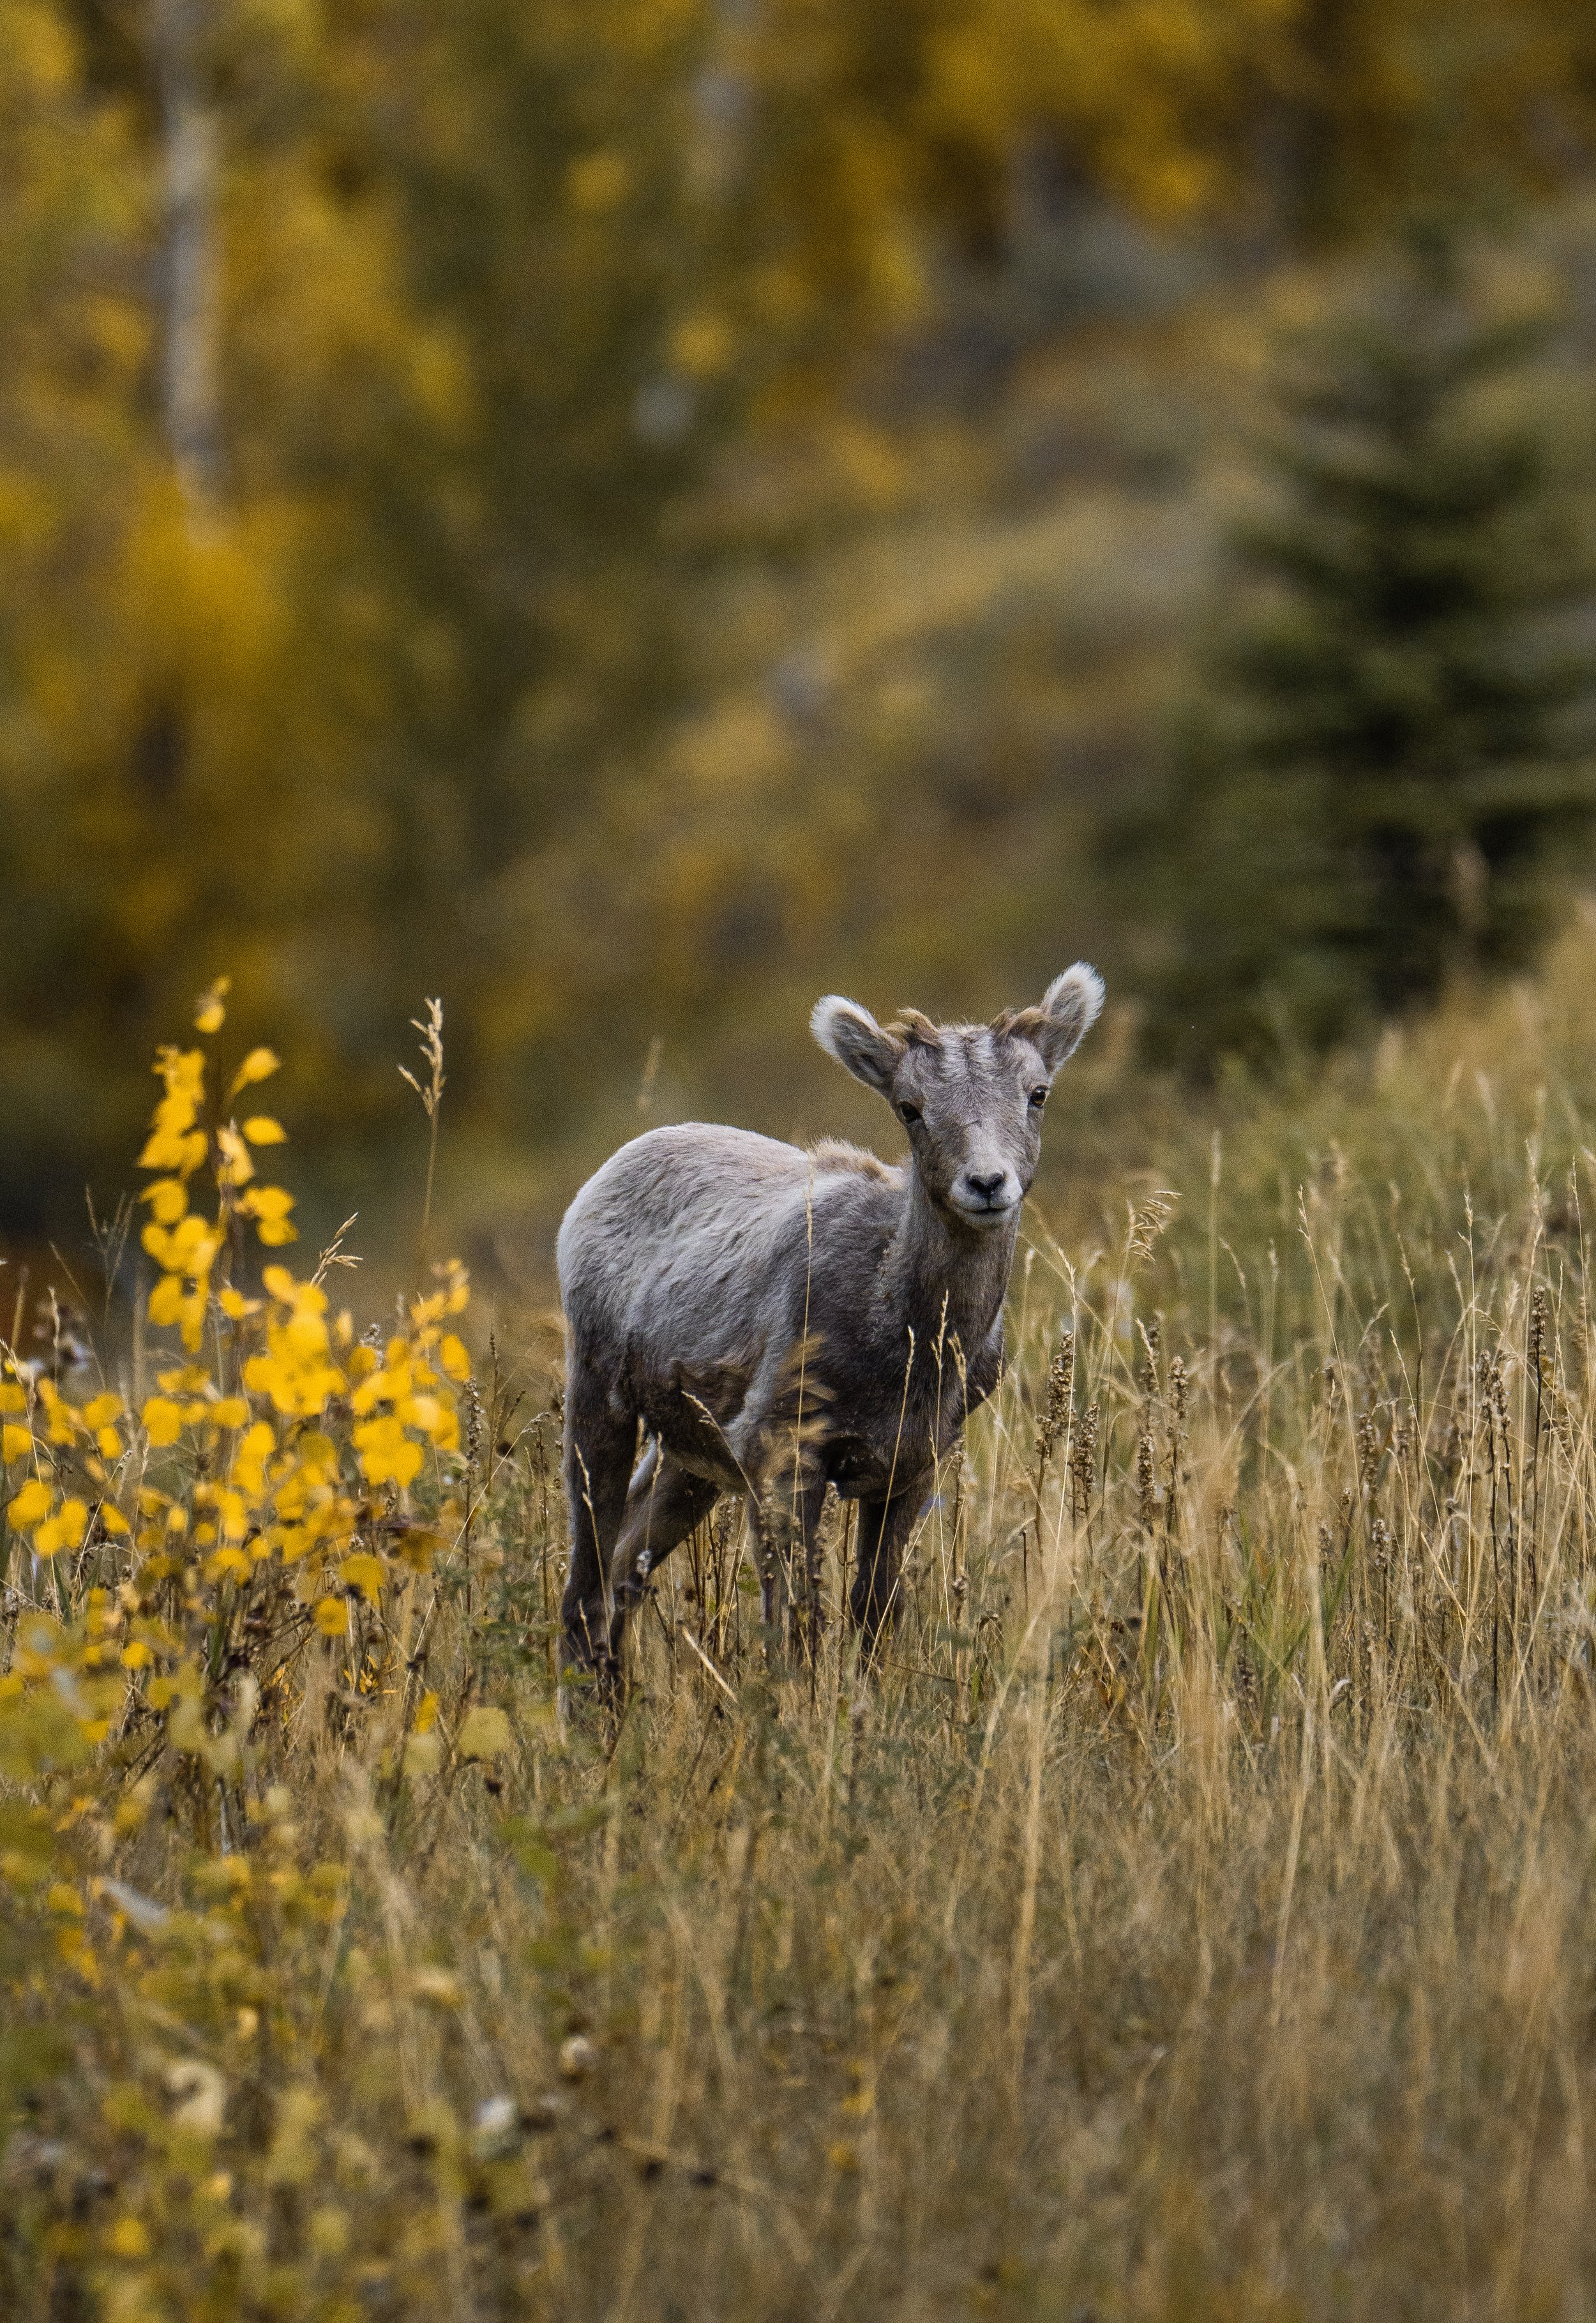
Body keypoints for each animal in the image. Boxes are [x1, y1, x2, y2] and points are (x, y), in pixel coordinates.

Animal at [557, 965, 1104, 1689]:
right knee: (584, 1590)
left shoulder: (912, 1467)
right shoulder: (783, 1454)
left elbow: (872, 1615)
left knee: (626, 1570)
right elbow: (798, 1625)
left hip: (690, 1455)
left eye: (1037, 1093)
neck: (905, 1348)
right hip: (601, 1402)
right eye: (909, 1107)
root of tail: (595, 1185)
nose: (987, 1183)